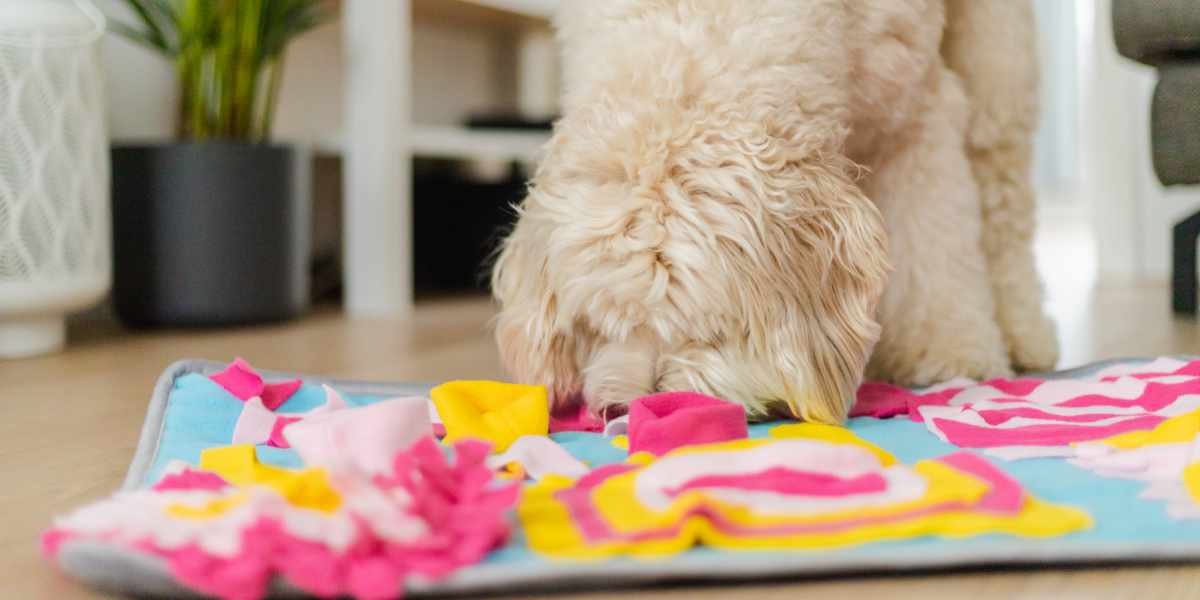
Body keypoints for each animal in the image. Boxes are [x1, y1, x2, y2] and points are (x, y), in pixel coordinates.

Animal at [492, 0, 1056, 424]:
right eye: (602, 327)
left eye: (713, 328)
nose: (648, 401)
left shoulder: (915, 115)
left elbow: (933, 251)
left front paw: (948, 355)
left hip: (996, 52)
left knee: (1002, 180)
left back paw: (1024, 334)